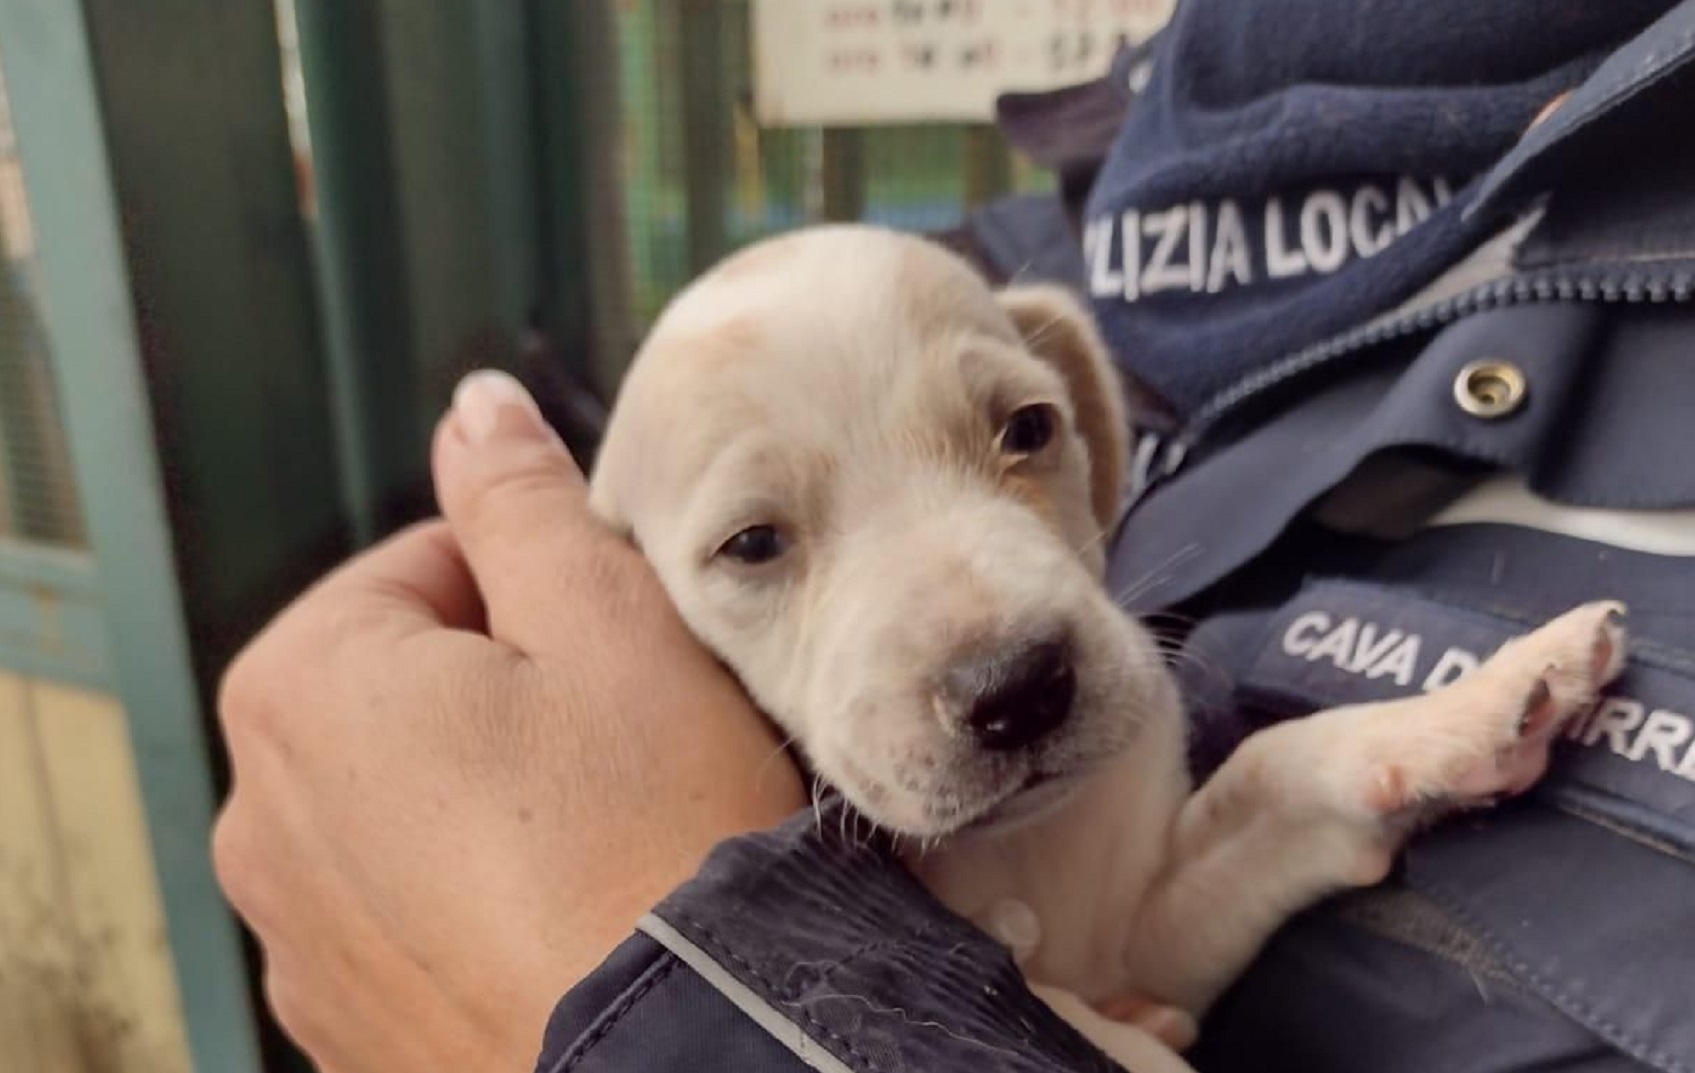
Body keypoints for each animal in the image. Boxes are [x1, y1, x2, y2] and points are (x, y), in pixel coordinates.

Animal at [586, 225, 1627, 1071]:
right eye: (752, 544)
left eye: (1028, 427)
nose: (1017, 688)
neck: (1025, 853)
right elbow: (1079, 1017)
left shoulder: (1151, 935)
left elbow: (1274, 768)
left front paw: (1484, 703)